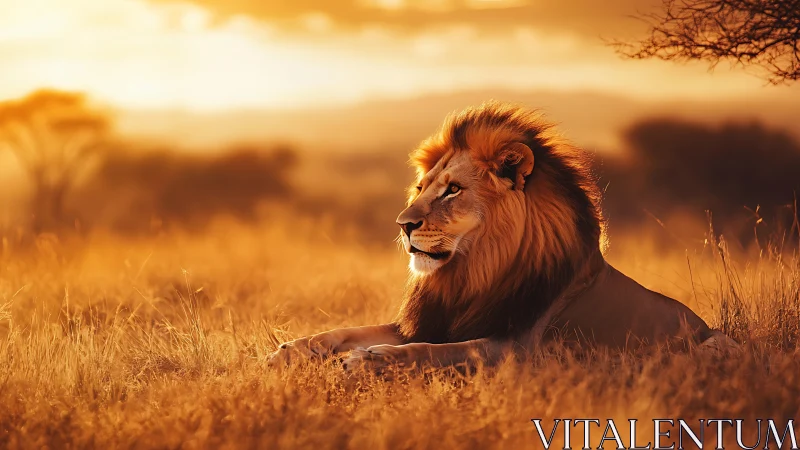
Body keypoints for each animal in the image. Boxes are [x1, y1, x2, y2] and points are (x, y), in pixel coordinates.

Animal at [268, 101, 735, 373]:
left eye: (453, 190)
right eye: (421, 188)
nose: (402, 224)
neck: (474, 272)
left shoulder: (520, 347)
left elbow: (438, 351)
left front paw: (370, 360)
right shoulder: (430, 321)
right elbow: (346, 330)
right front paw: (289, 350)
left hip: (717, 344)